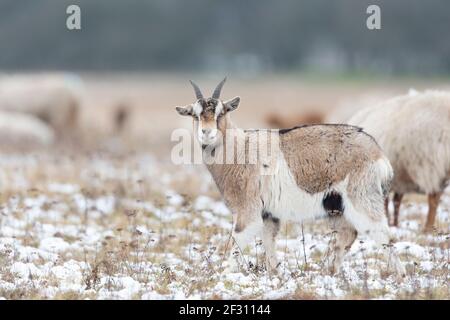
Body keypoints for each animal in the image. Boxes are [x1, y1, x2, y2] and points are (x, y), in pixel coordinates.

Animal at [175, 79, 404, 276]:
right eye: (195, 115)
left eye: (221, 112)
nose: (207, 133)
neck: (241, 147)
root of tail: (377, 152)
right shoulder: (268, 215)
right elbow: (268, 242)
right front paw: (274, 273)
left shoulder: (248, 211)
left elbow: (237, 241)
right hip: (337, 207)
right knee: (348, 235)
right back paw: (331, 271)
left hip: (362, 199)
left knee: (381, 233)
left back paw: (398, 275)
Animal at [348, 89, 450, 231]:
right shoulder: (431, 169)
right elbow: (433, 200)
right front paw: (428, 228)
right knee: (386, 200)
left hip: (398, 178)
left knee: (395, 200)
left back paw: (394, 224)